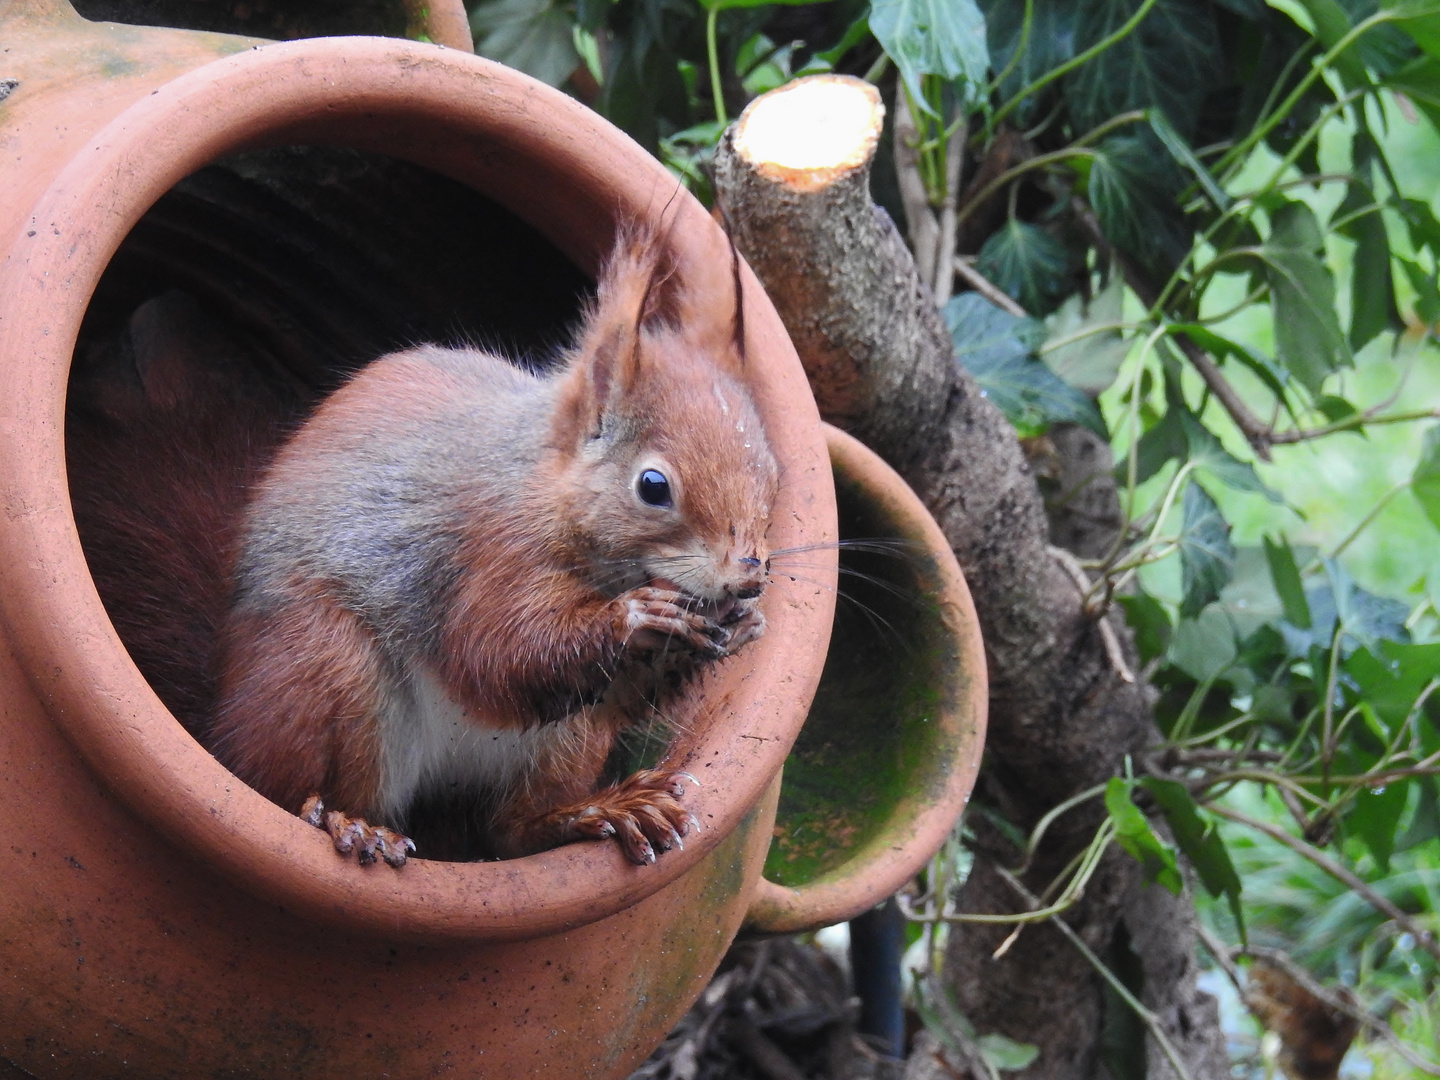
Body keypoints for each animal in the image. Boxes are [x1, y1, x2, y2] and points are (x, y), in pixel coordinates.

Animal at [201, 226, 777, 869]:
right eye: (653, 487)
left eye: (773, 476)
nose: (748, 578)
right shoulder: (491, 547)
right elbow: (491, 647)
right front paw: (633, 617)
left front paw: (744, 627)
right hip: (328, 671)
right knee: (284, 788)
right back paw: (349, 824)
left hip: (568, 739)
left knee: (510, 832)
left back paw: (599, 812)